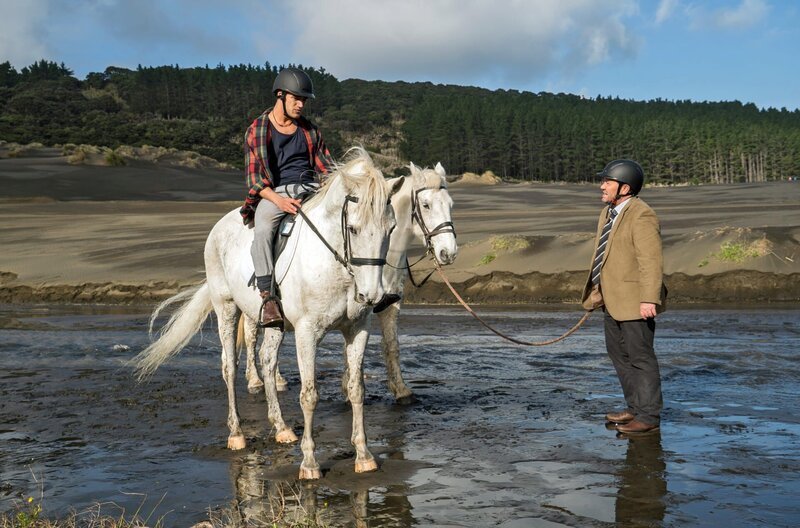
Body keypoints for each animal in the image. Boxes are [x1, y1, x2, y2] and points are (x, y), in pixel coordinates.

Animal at [137, 147, 404, 478]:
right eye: (353, 228)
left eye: (391, 229)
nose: (372, 295)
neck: (336, 266)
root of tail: (219, 227)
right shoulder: (306, 333)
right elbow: (309, 395)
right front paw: (309, 463)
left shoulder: (358, 329)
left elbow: (357, 390)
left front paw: (364, 456)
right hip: (227, 308)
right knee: (229, 367)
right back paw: (237, 434)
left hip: (272, 322)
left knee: (266, 361)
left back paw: (281, 428)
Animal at [239, 161, 456, 400]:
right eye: (426, 205)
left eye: (450, 205)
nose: (449, 252)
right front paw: (350, 384)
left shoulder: (385, 306)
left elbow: (390, 344)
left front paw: (399, 389)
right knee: (252, 336)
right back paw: (256, 380)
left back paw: (275, 379)